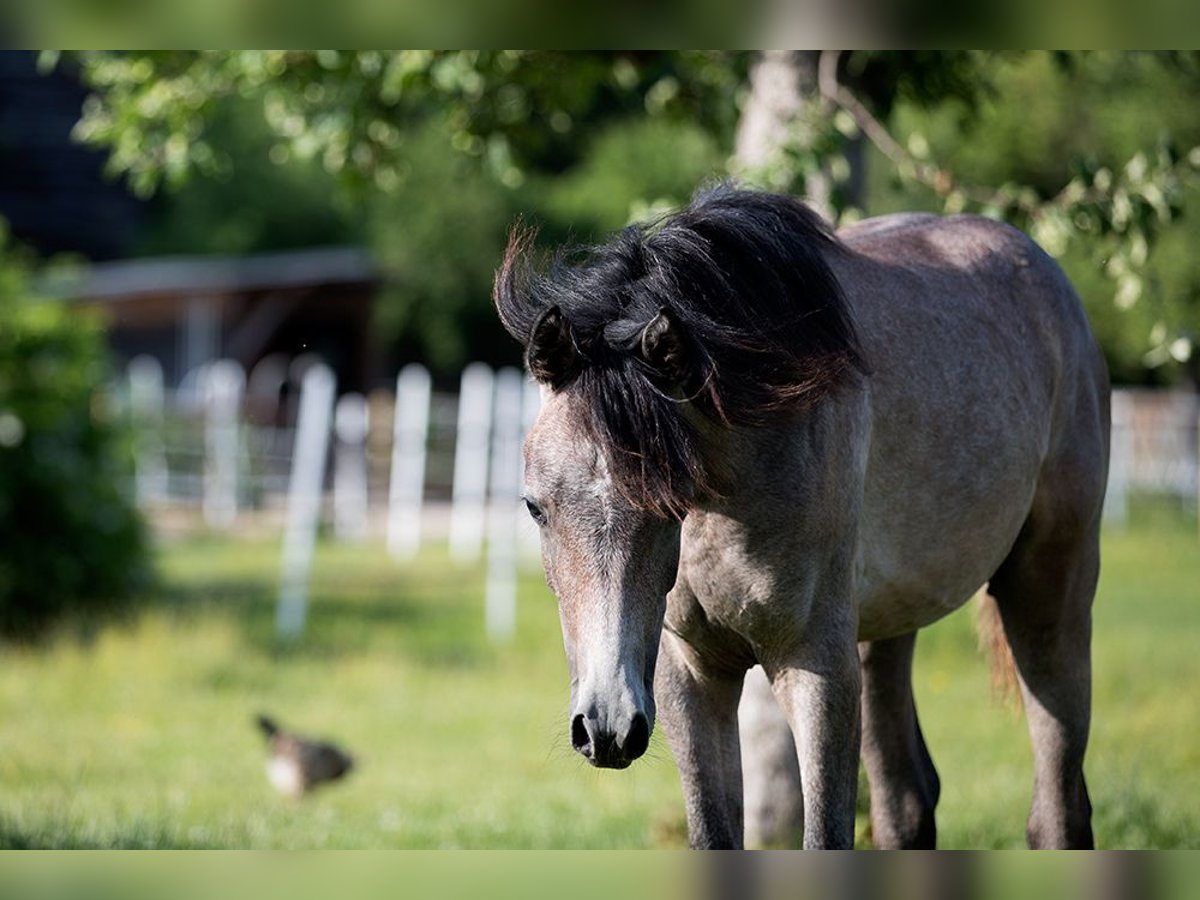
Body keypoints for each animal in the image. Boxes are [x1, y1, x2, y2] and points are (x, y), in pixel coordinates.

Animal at [494, 184, 1109, 849]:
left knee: (1057, 808)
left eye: (668, 506)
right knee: (907, 802)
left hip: (1048, 598)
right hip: (883, 635)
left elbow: (825, 835)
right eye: (535, 507)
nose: (606, 727)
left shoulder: (815, 669)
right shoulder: (690, 676)